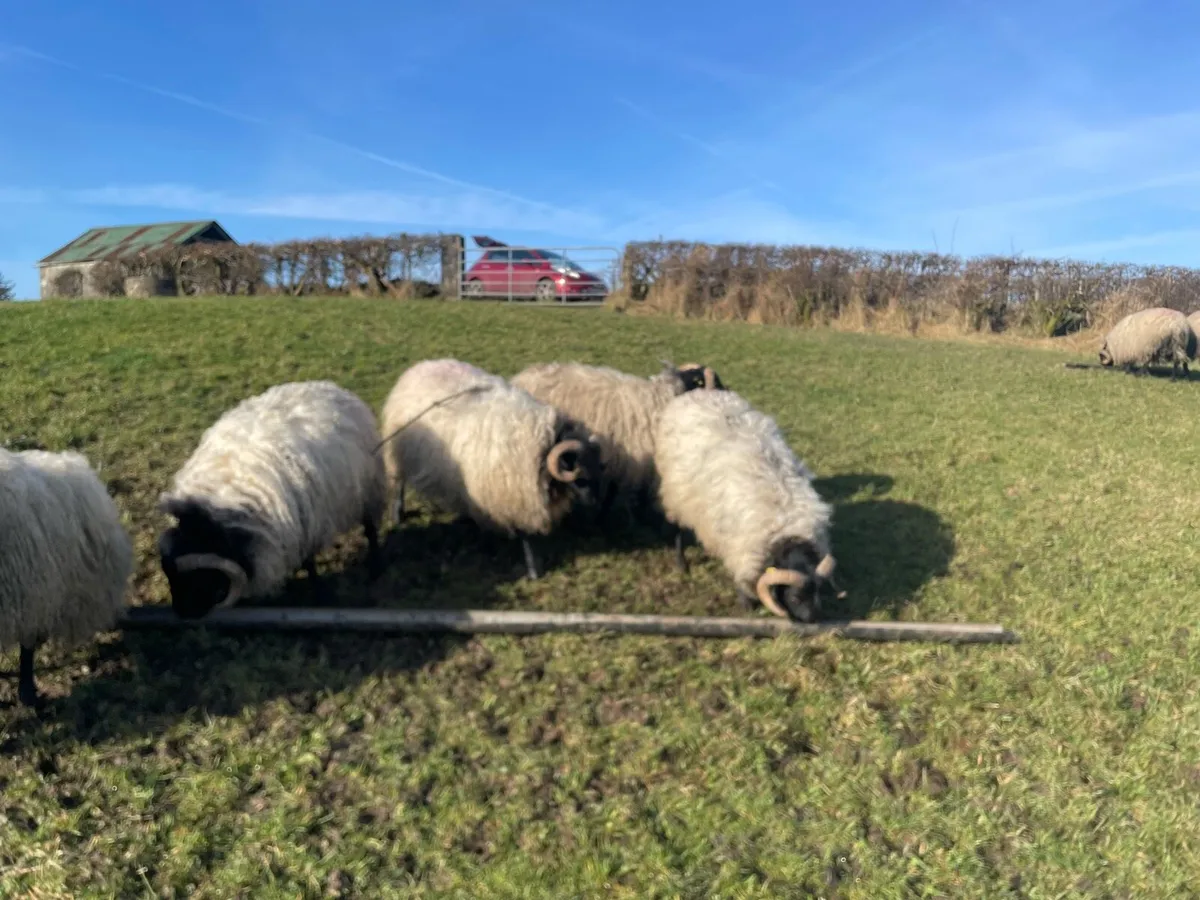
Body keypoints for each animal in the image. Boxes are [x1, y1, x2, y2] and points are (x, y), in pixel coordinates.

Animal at [157, 380, 388, 620]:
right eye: (170, 578)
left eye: (199, 579)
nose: (182, 613)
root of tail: (326, 385)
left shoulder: (305, 526)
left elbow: (309, 563)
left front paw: (318, 594)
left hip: (369, 487)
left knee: (370, 527)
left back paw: (376, 566)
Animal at [379, 358, 604, 579]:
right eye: (580, 477)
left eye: (598, 470)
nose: (594, 503)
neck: (543, 447)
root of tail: (419, 367)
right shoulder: (514, 499)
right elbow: (526, 538)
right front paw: (533, 571)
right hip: (397, 453)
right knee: (398, 484)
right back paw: (397, 515)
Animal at [653, 388, 840, 622]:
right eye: (795, 598)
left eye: (817, 592)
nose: (814, 619)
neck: (784, 531)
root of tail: (698, 392)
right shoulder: (739, 550)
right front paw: (747, 607)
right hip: (677, 493)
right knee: (677, 527)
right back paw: (682, 565)